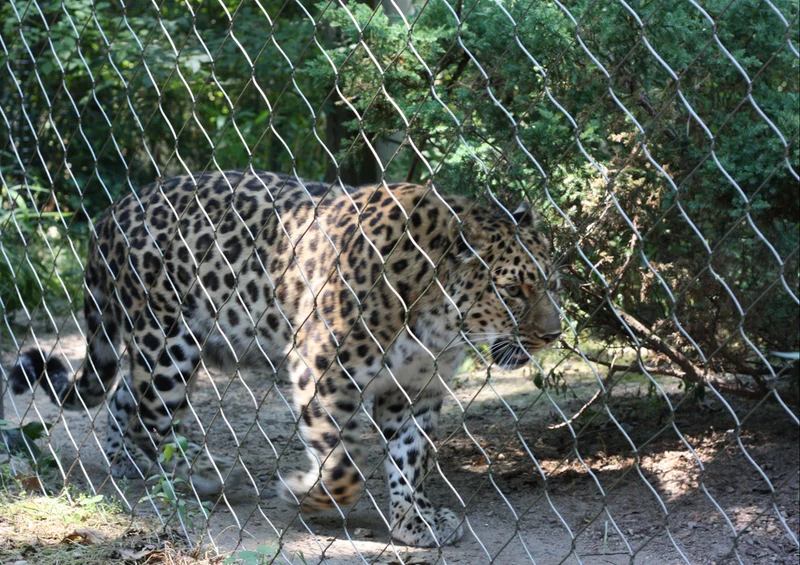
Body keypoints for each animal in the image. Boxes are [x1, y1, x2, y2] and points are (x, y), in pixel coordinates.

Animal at [9, 168, 561, 547]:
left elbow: (412, 459)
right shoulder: (324, 368)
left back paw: (127, 464)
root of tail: (113, 210)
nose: (554, 333)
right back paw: (199, 474)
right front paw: (304, 492)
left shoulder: (415, 389)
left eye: (551, 283)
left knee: (125, 393)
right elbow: (343, 465)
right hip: (169, 335)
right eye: (513, 290)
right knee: (154, 411)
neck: (438, 316)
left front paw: (415, 522)